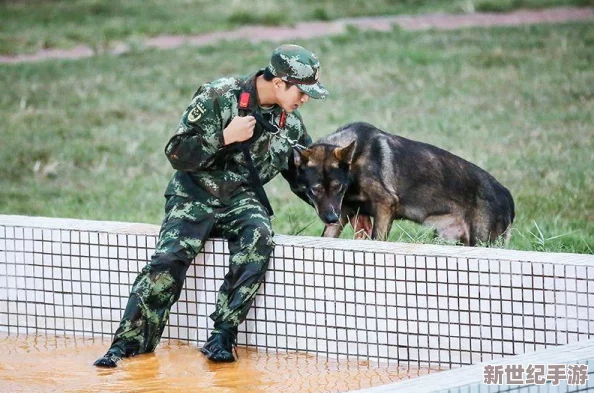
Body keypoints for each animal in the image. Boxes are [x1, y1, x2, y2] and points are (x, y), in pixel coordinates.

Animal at [284, 121, 512, 245]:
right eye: (314, 190)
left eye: (337, 187)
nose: (330, 218)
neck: (355, 162)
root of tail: (508, 196)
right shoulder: (343, 213)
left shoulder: (385, 205)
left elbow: (377, 239)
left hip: (482, 240)